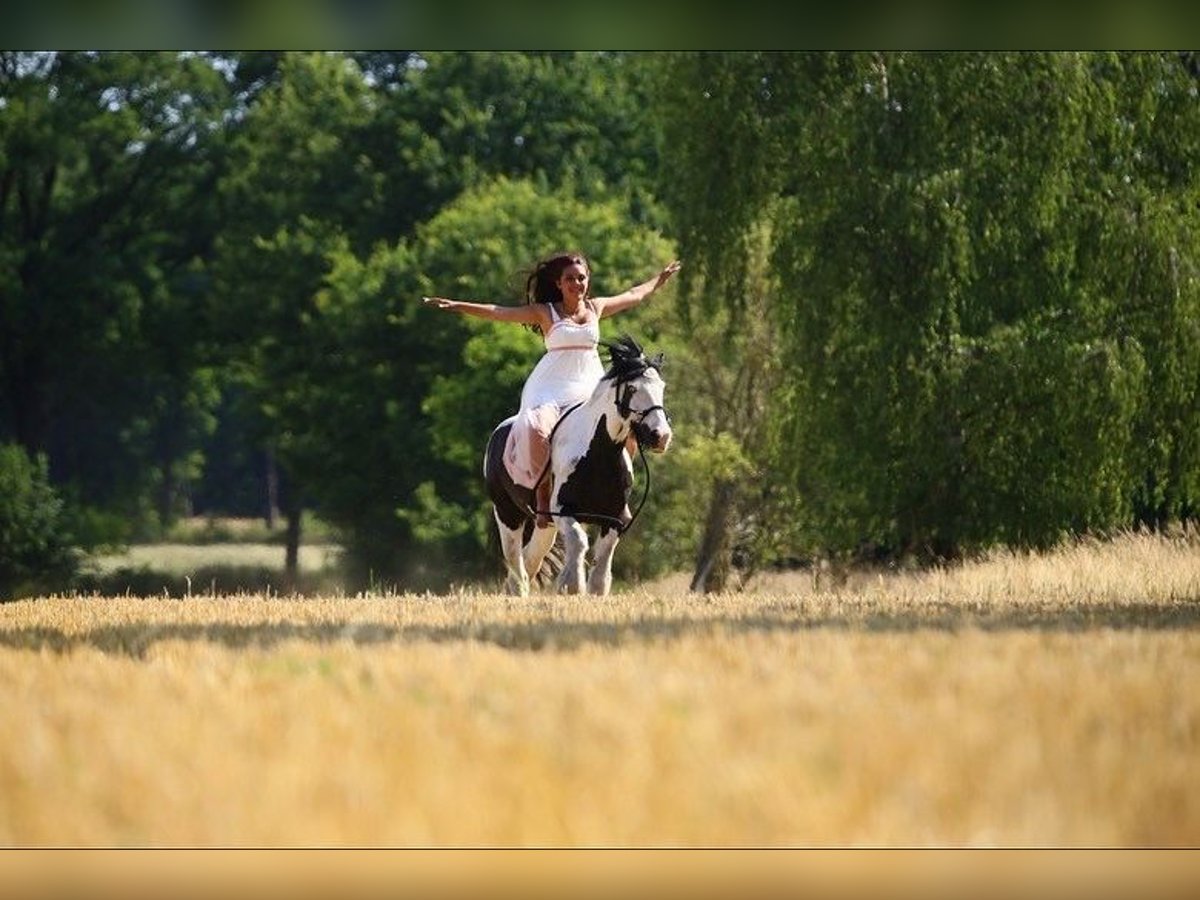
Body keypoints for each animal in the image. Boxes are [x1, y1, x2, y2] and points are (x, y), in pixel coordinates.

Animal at [487, 338, 676, 600]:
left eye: (662, 387)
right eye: (631, 389)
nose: (661, 436)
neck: (598, 454)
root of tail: (499, 432)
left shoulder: (615, 517)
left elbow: (603, 554)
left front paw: (595, 590)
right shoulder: (564, 510)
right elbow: (579, 541)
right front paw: (571, 586)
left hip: (543, 525)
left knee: (531, 557)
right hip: (507, 513)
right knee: (515, 557)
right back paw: (517, 592)